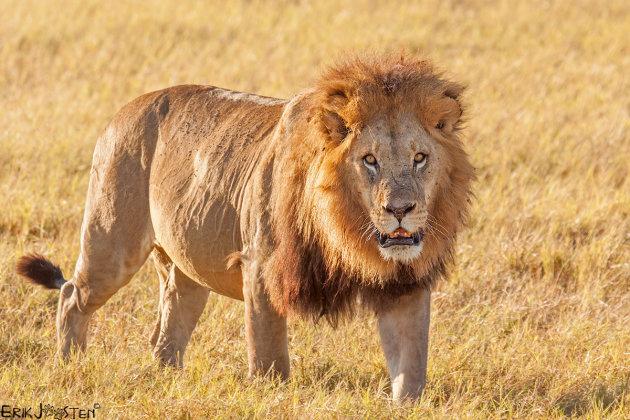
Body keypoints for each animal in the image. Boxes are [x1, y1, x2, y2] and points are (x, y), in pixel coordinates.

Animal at [16, 54, 474, 402]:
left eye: (419, 158)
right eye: (370, 160)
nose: (401, 210)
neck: (346, 231)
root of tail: (126, 108)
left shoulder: (406, 285)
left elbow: (411, 366)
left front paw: (409, 405)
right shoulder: (262, 267)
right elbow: (271, 357)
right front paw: (273, 398)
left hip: (186, 269)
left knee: (166, 330)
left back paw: (168, 382)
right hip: (112, 243)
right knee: (73, 297)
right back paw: (71, 366)